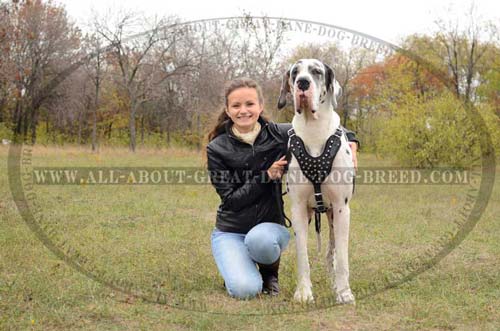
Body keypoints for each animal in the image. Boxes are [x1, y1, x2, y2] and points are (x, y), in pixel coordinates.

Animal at [278, 59, 356, 304]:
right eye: (295, 73)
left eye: (316, 71)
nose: (303, 83)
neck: (313, 130)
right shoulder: (298, 209)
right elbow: (302, 255)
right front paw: (303, 292)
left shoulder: (342, 208)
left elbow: (342, 257)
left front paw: (344, 292)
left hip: (332, 217)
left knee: (333, 252)